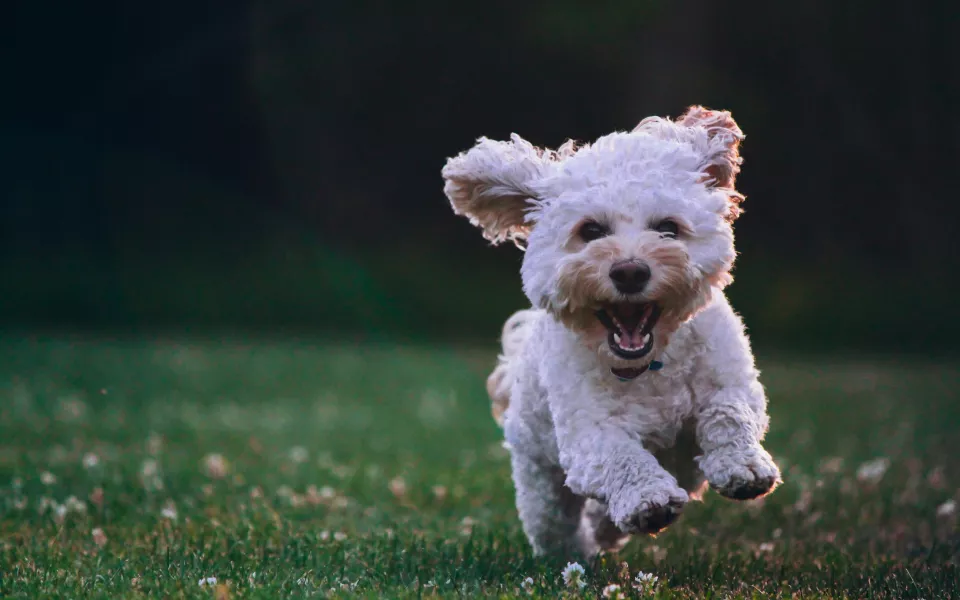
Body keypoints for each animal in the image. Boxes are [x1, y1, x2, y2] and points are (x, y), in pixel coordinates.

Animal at [442, 104, 780, 556]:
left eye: (668, 228)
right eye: (591, 231)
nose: (630, 271)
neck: (650, 364)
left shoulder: (731, 379)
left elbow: (729, 412)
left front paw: (743, 466)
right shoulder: (588, 433)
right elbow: (621, 457)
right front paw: (648, 500)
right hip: (539, 475)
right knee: (554, 521)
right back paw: (578, 550)